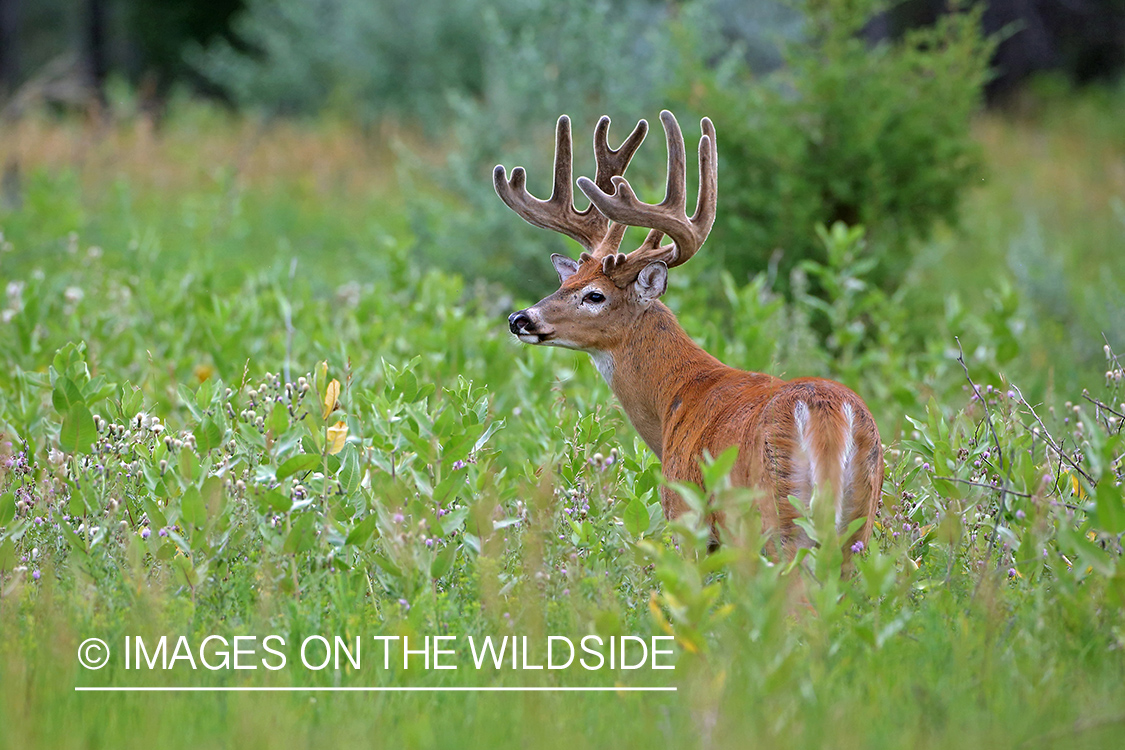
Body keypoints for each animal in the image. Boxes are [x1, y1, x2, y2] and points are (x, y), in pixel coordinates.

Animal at [497, 111, 882, 557]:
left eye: (594, 295)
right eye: (566, 281)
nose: (520, 318)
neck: (674, 399)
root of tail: (831, 418)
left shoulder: (687, 515)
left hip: (775, 518)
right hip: (859, 521)